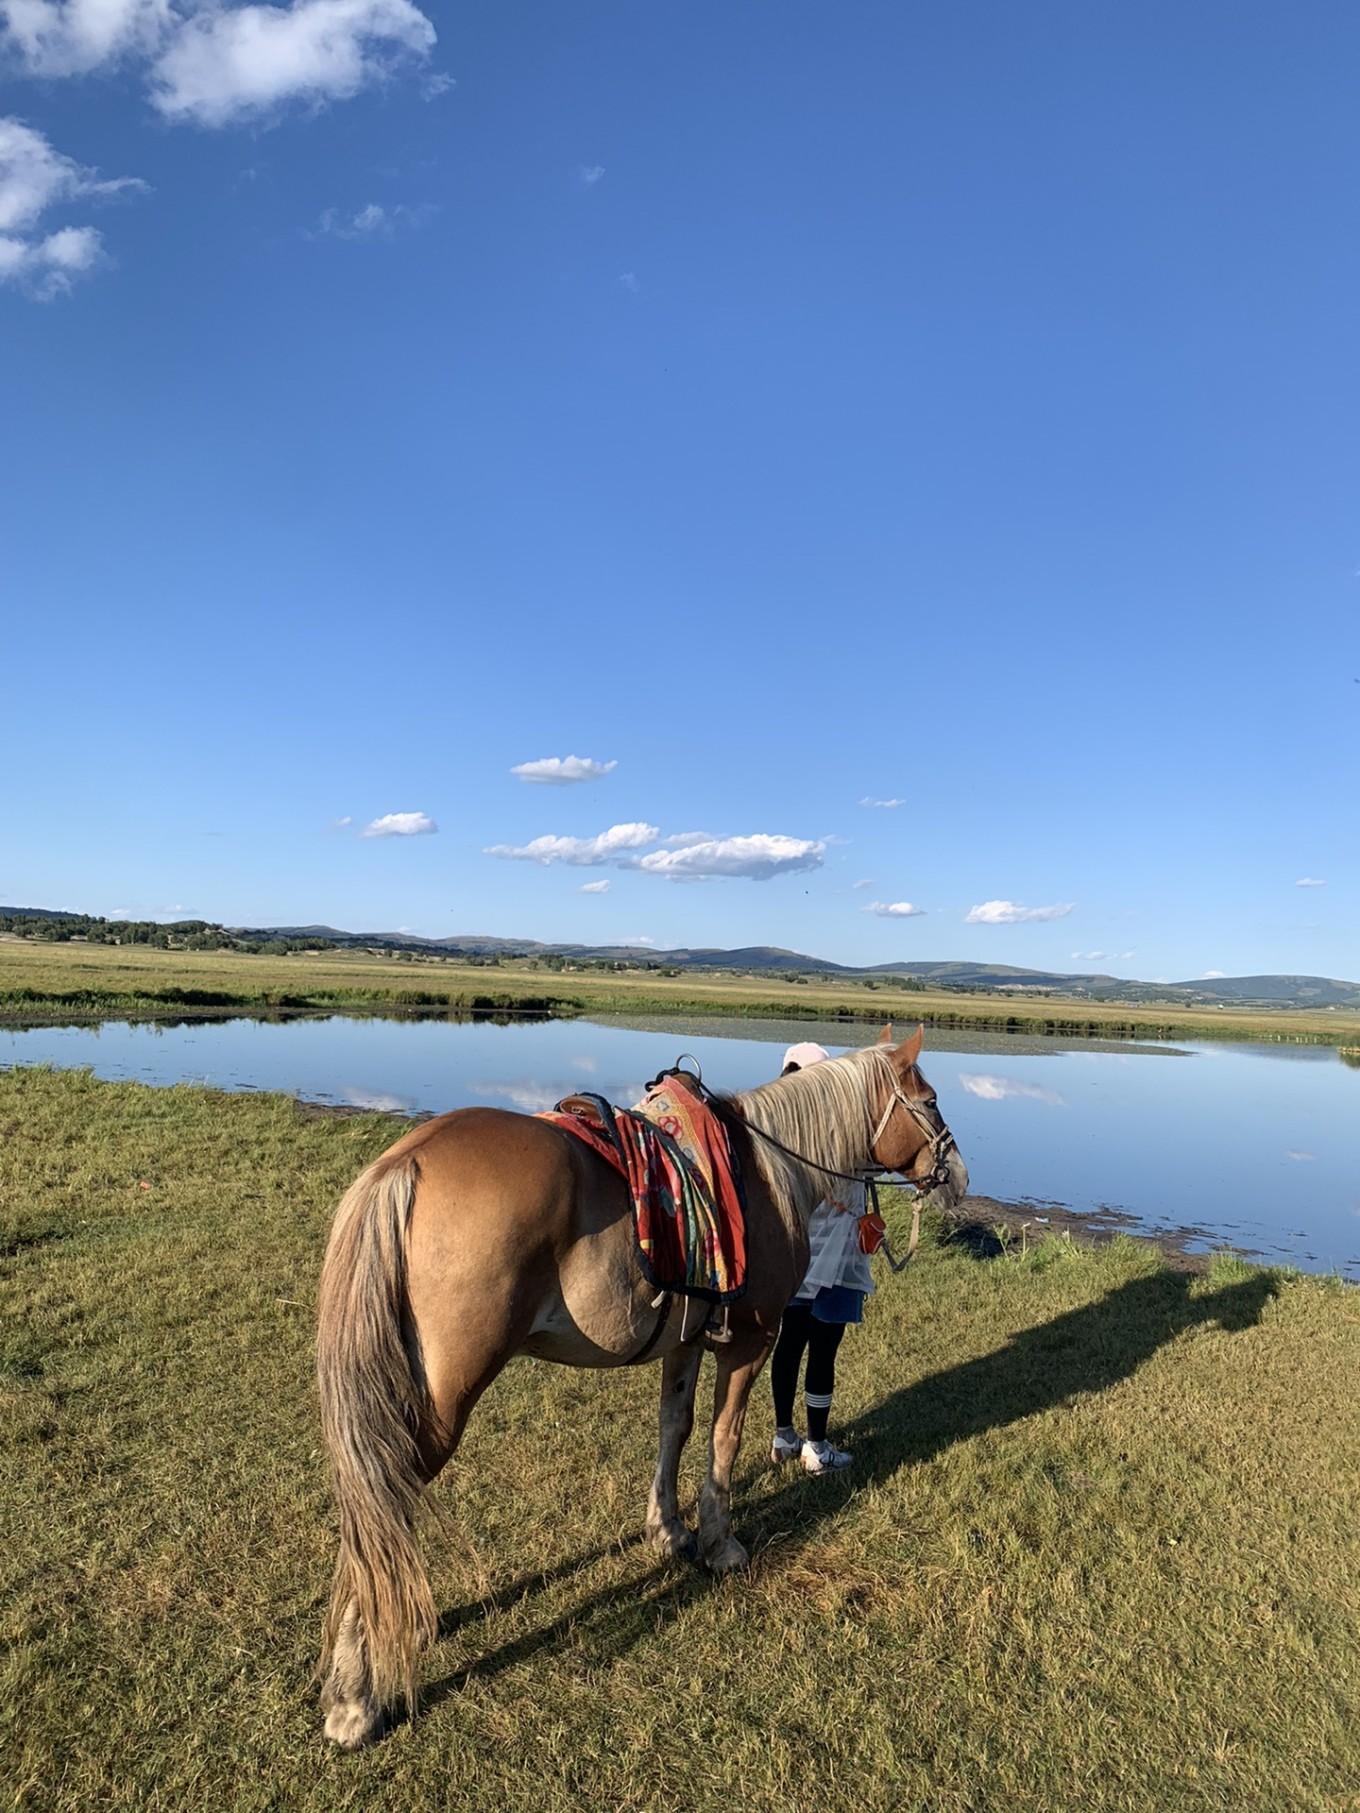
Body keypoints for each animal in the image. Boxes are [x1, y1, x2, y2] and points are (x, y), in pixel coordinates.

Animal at [314, 1025, 968, 1748]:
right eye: (930, 1101)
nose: (957, 1176)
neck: (770, 1172)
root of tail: (406, 1163)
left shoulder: (683, 1342)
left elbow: (673, 1428)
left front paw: (669, 1528)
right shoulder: (749, 1342)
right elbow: (722, 1438)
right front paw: (719, 1542)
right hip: (440, 1402)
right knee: (381, 1502)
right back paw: (355, 1697)